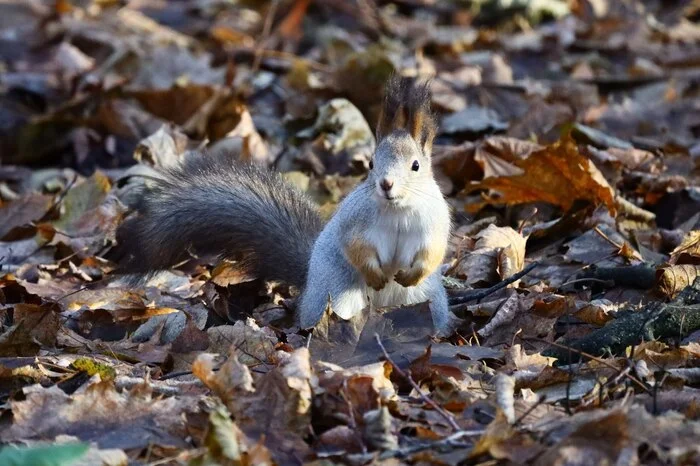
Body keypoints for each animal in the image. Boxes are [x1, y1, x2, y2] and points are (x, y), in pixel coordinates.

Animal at [114, 75, 454, 335]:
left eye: (415, 166)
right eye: (371, 163)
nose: (386, 184)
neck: (397, 209)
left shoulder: (434, 223)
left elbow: (433, 252)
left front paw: (412, 273)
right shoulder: (355, 220)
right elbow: (355, 246)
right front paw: (375, 275)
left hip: (430, 303)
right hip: (336, 293)